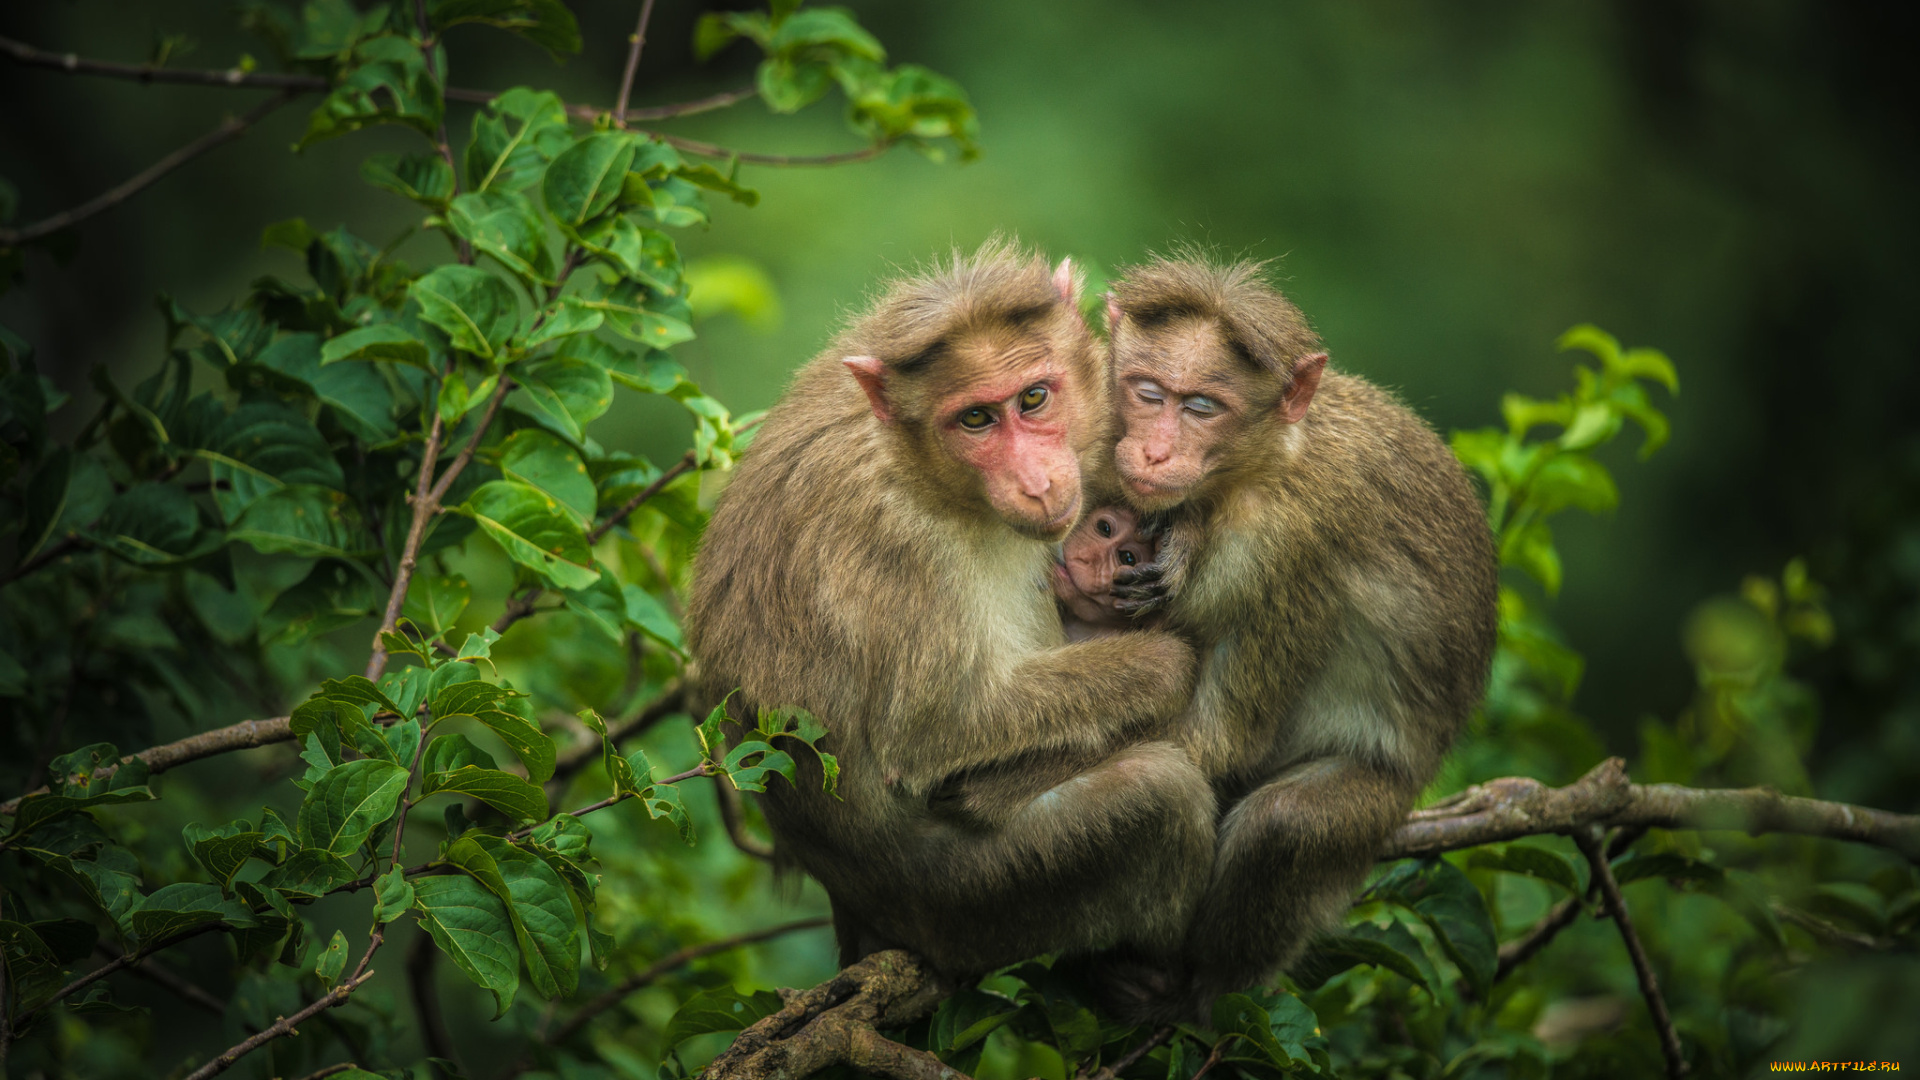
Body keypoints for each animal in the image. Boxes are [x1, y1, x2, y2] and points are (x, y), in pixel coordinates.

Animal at [1098, 253, 1497, 1014]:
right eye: (1148, 393)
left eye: (1202, 407)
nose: (1156, 453)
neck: (1254, 471)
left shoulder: (1289, 550)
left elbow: (1217, 741)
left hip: (1380, 800)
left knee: (1285, 825)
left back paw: (1199, 991)